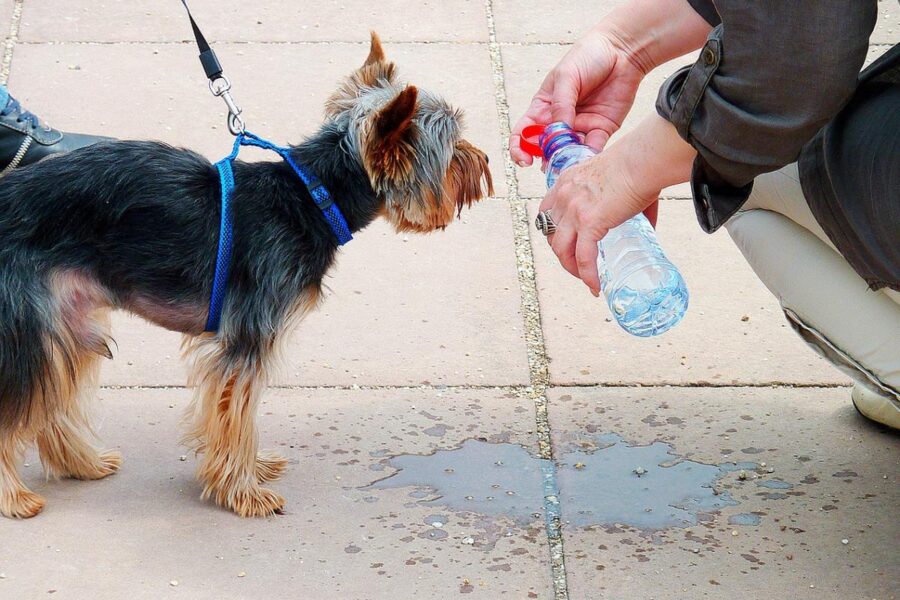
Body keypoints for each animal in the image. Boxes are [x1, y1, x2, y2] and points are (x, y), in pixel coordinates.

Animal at [0, 34, 492, 520]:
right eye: (452, 150)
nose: (485, 160)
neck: (313, 196)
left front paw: (251, 472)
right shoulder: (248, 337)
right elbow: (237, 413)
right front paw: (244, 492)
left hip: (68, 320)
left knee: (52, 394)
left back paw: (83, 463)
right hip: (29, 317)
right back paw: (16, 497)